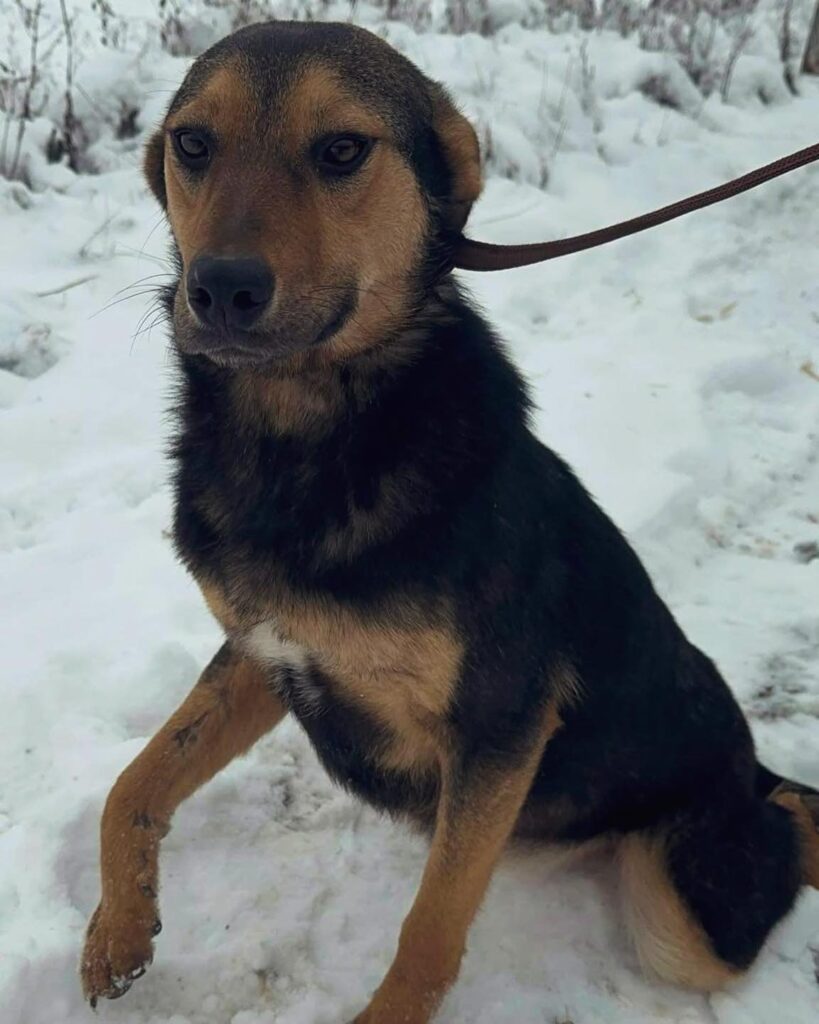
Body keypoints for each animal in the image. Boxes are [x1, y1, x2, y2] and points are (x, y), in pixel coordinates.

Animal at [80, 20, 819, 1023]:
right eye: (192, 143)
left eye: (341, 151)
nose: (222, 289)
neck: (305, 437)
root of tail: (746, 771)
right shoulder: (264, 655)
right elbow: (135, 783)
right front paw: (117, 930)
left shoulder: (499, 725)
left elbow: (431, 922)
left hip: (686, 914)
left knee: (775, 837)